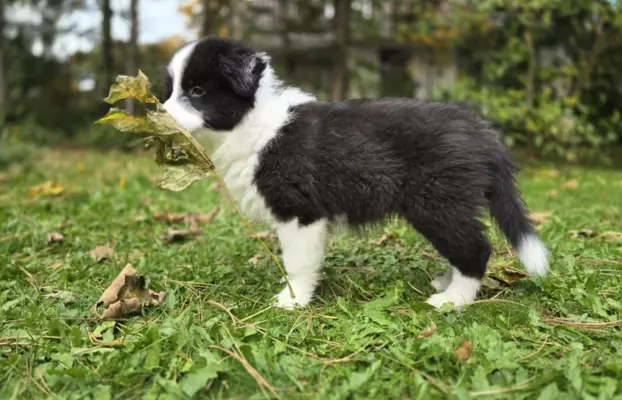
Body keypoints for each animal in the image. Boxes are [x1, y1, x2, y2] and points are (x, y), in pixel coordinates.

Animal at [162, 36, 552, 310]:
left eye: (197, 90)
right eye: (170, 91)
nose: (160, 115)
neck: (254, 122)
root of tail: (481, 132)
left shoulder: (299, 211)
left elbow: (297, 262)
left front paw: (293, 300)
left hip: (437, 202)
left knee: (476, 247)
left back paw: (453, 300)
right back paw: (446, 283)